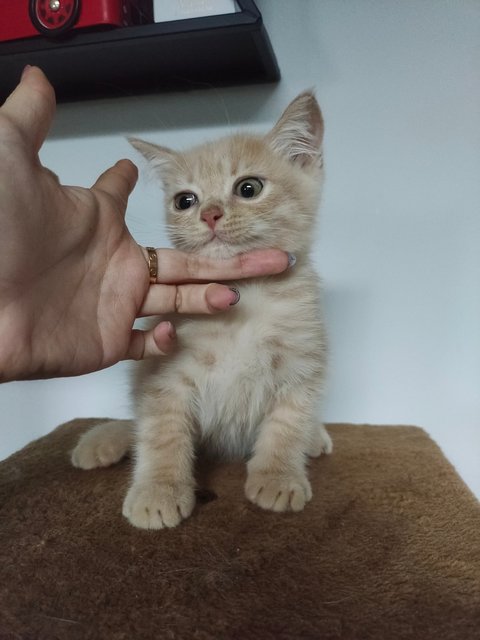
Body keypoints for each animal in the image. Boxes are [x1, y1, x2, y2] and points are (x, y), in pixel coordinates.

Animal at [72, 91, 330, 528]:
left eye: (249, 188)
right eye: (185, 201)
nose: (209, 213)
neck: (247, 300)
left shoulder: (301, 364)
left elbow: (288, 423)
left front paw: (277, 476)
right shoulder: (163, 375)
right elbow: (161, 433)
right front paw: (159, 490)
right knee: (138, 423)